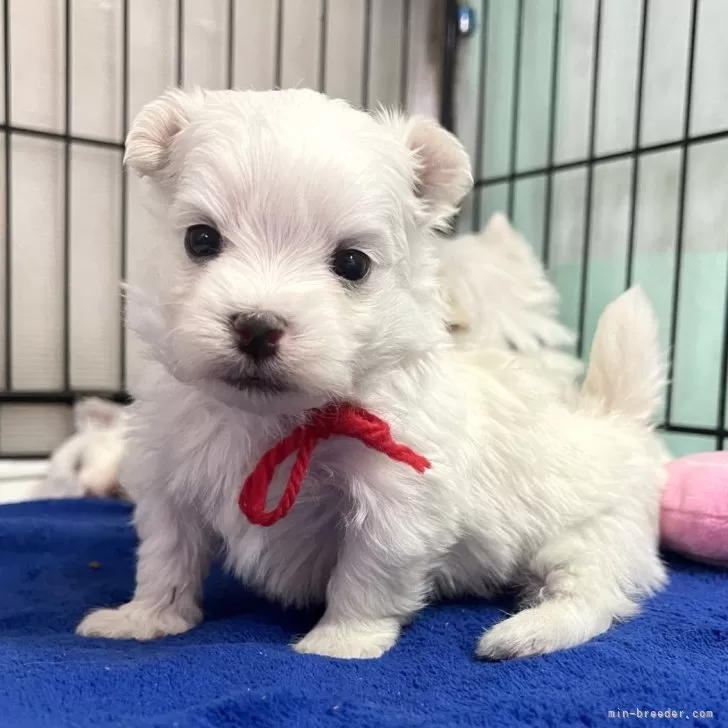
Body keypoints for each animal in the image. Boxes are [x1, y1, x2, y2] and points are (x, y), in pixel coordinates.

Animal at [77, 89, 668, 660]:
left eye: (352, 263)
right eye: (200, 240)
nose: (258, 326)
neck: (275, 418)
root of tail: (615, 423)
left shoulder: (397, 501)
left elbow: (367, 574)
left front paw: (341, 641)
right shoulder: (168, 476)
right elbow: (166, 557)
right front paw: (144, 618)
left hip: (591, 537)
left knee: (590, 594)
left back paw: (520, 635)